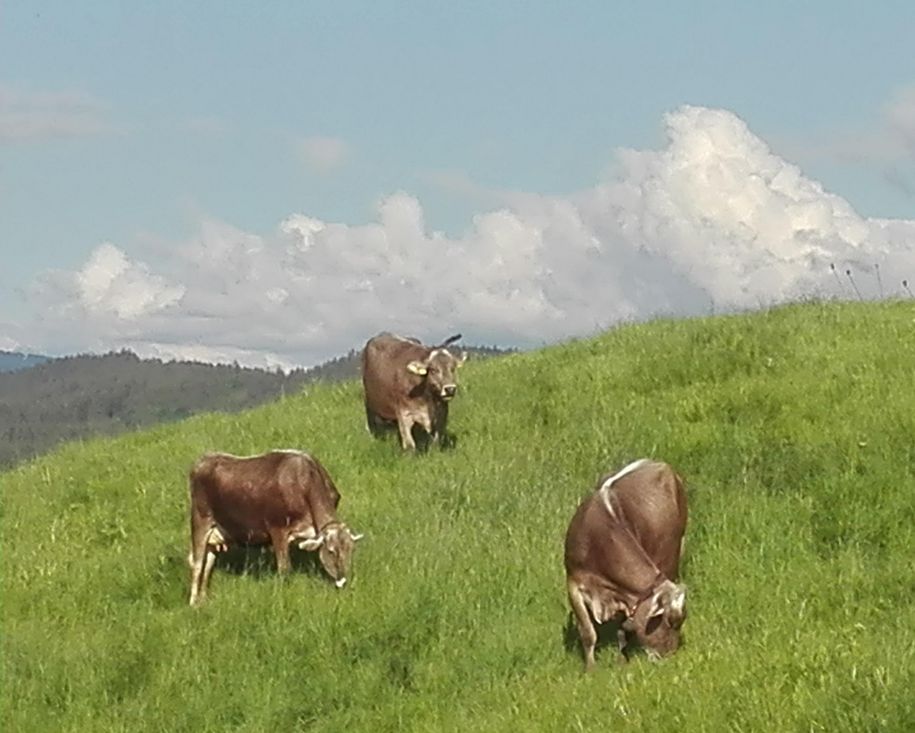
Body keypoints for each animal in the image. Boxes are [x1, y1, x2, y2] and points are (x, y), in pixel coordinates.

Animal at [188, 448, 364, 604]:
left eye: (351, 550)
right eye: (331, 551)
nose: (343, 581)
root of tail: (204, 459)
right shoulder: (278, 530)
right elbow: (284, 568)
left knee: (208, 563)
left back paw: (203, 600)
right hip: (200, 521)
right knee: (198, 564)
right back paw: (193, 603)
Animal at [564, 458, 688, 668]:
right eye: (668, 621)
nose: (668, 657)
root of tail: (659, 463)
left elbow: (621, 629)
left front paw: (622, 660)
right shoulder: (573, 582)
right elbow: (588, 632)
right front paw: (590, 669)